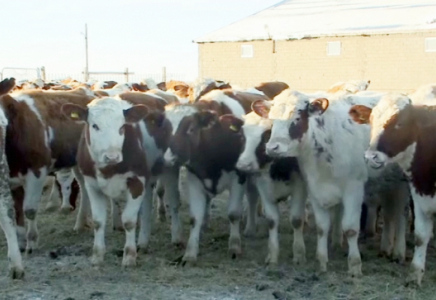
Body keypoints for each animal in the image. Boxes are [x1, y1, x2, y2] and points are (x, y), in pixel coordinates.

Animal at [252, 90, 382, 278]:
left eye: (297, 118)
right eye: (271, 118)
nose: (272, 147)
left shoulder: (354, 189)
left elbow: (351, 228)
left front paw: (355, 265)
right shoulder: (314, 189)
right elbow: (322, 227)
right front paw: (321, 261)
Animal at [350, 94, 436, 286]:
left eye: (400, 123)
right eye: (371, 120)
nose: (371, 157)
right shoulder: (420, 198)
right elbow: (421, 236)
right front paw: (415, 274)